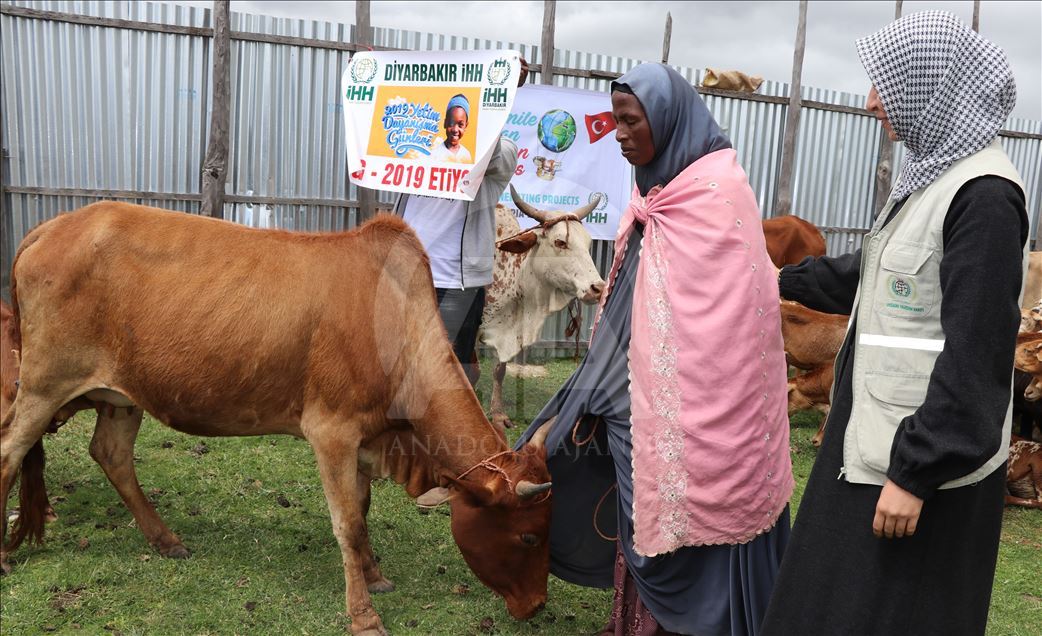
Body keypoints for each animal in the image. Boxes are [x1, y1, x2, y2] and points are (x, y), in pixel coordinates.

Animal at [0, 202, 554, 635]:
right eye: (528, 535)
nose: (538, 606)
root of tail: (54, 225)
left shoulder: (364, 438)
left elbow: (362, 508)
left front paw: (374, 575)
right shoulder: (332, 431)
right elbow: (347, 521)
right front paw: (364, 615)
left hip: (122, 396)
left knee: (111, 454)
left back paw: (166, 540)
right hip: (45, 384)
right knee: (10, 452)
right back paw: (7, 557)